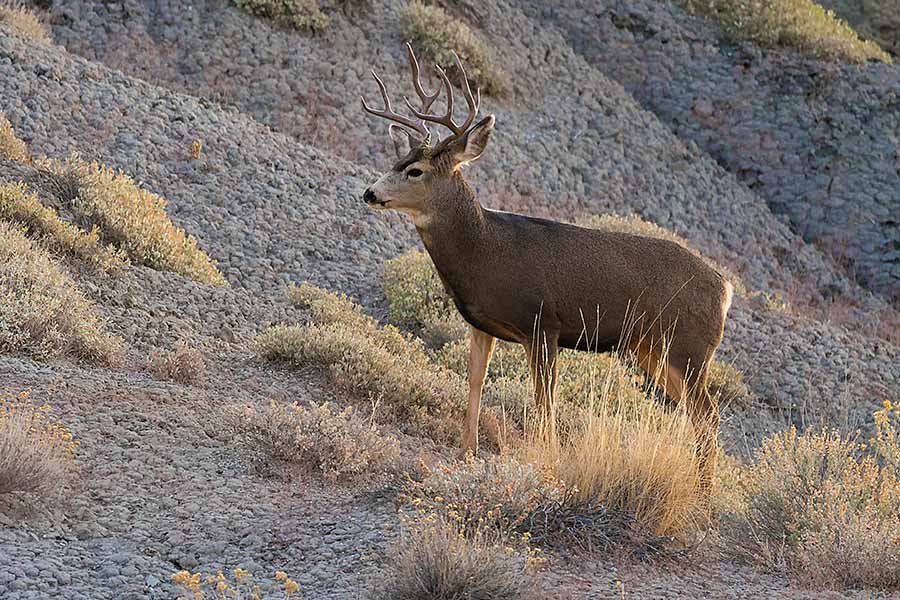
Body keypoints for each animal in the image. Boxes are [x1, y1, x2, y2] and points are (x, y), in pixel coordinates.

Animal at [358, 44, 732, 490]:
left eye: (415, 170)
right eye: (397, 161)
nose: (370, 192)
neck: (485, 251)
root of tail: (725, 289)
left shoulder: (543, 323)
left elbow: (544, 400)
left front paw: (548, 463)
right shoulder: (482, 324)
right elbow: (475, 382)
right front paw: (466, 454)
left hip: (689, 348)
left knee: (708, 414)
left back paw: (705, 492)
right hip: (653, 350)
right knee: (697, 414)